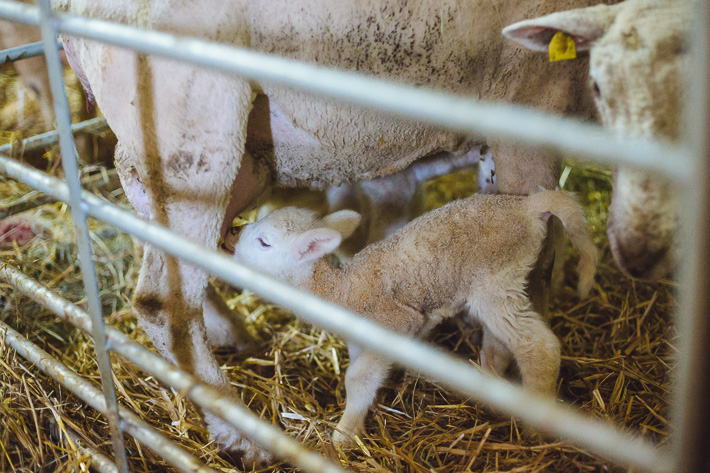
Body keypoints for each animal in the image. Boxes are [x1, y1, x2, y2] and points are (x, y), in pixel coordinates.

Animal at [235, 188, 600, 442]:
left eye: (264, 242)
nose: (234, 243)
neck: (339, 290)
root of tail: (527, 205)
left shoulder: (393, 322)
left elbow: (357, 378)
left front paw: (343, 435)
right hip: (500, 283)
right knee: (501, 343)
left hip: (496, 277)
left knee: (538, 346)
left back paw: (537, 424)